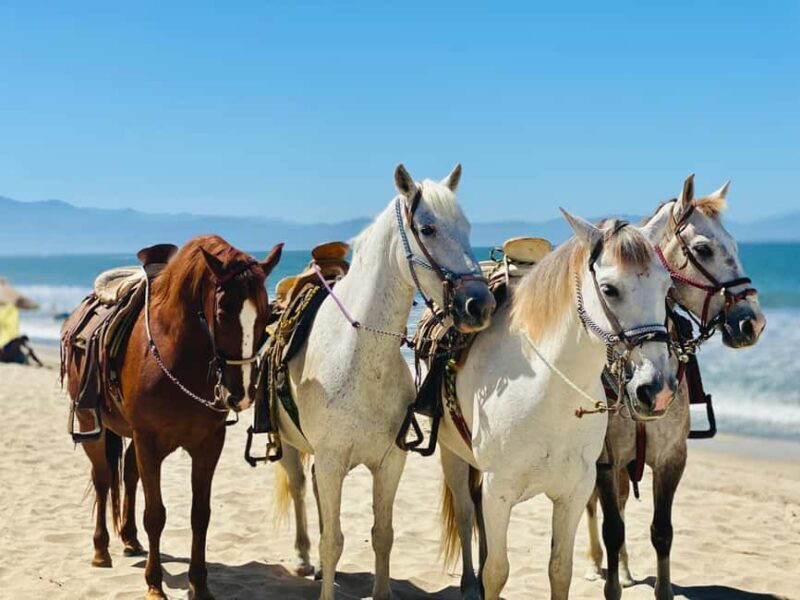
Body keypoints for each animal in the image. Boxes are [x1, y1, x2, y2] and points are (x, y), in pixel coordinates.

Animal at [64, 235, 282, 599]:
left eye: (267, 313)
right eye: (222, 311)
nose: (241, 393)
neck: (177, 355)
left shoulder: (208, 444)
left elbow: (200, 515)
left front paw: (200, 584)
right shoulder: (149, 441)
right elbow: (156, 514)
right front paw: (154, 585)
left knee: (128, 473)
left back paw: (130, 539)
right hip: (90, 424)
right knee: (104, 479)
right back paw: (101, 549)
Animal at [271, 164, 496, 600]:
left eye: (467, 227)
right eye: (427, 228)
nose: (480, 304)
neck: (359, 356)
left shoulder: (390, 462)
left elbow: (382, 534)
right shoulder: (331, 459)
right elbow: (333, 541)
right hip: (290, 444)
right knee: (300, 486)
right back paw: (304, 557)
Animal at [437, 209, 677, 600]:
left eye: (667, 287)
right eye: (609, 289)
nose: (657, 390)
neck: (548, 395)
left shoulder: (574, 492)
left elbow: (560, 570)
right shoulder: (498, 490)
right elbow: (497, 572)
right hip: (452, 455)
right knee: (465, 512)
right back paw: (470, 585)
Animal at [584, 176, 766, 600]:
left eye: (735, 245)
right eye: (703, 249)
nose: (753, 322)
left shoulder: (670, 459)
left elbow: (661, 532)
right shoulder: (604, 461)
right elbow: (612, 528)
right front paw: (609, 579)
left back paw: (625, 570)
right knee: (593, 509)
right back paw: (596, 563)